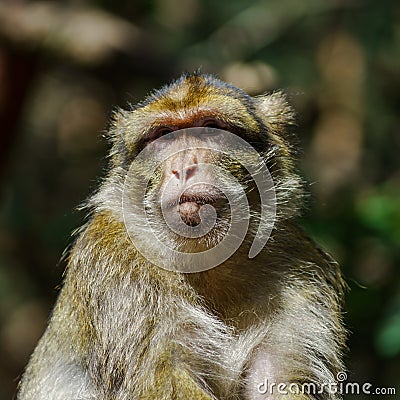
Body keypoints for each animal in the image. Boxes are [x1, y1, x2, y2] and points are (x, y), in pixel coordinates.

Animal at [17, 72, 346, 400]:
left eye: (211, 127)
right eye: (164, 135)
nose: (184, 165)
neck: (208, 263)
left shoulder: (299, 269)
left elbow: (278, 378)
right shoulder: (117, 264)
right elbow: (161, 380)